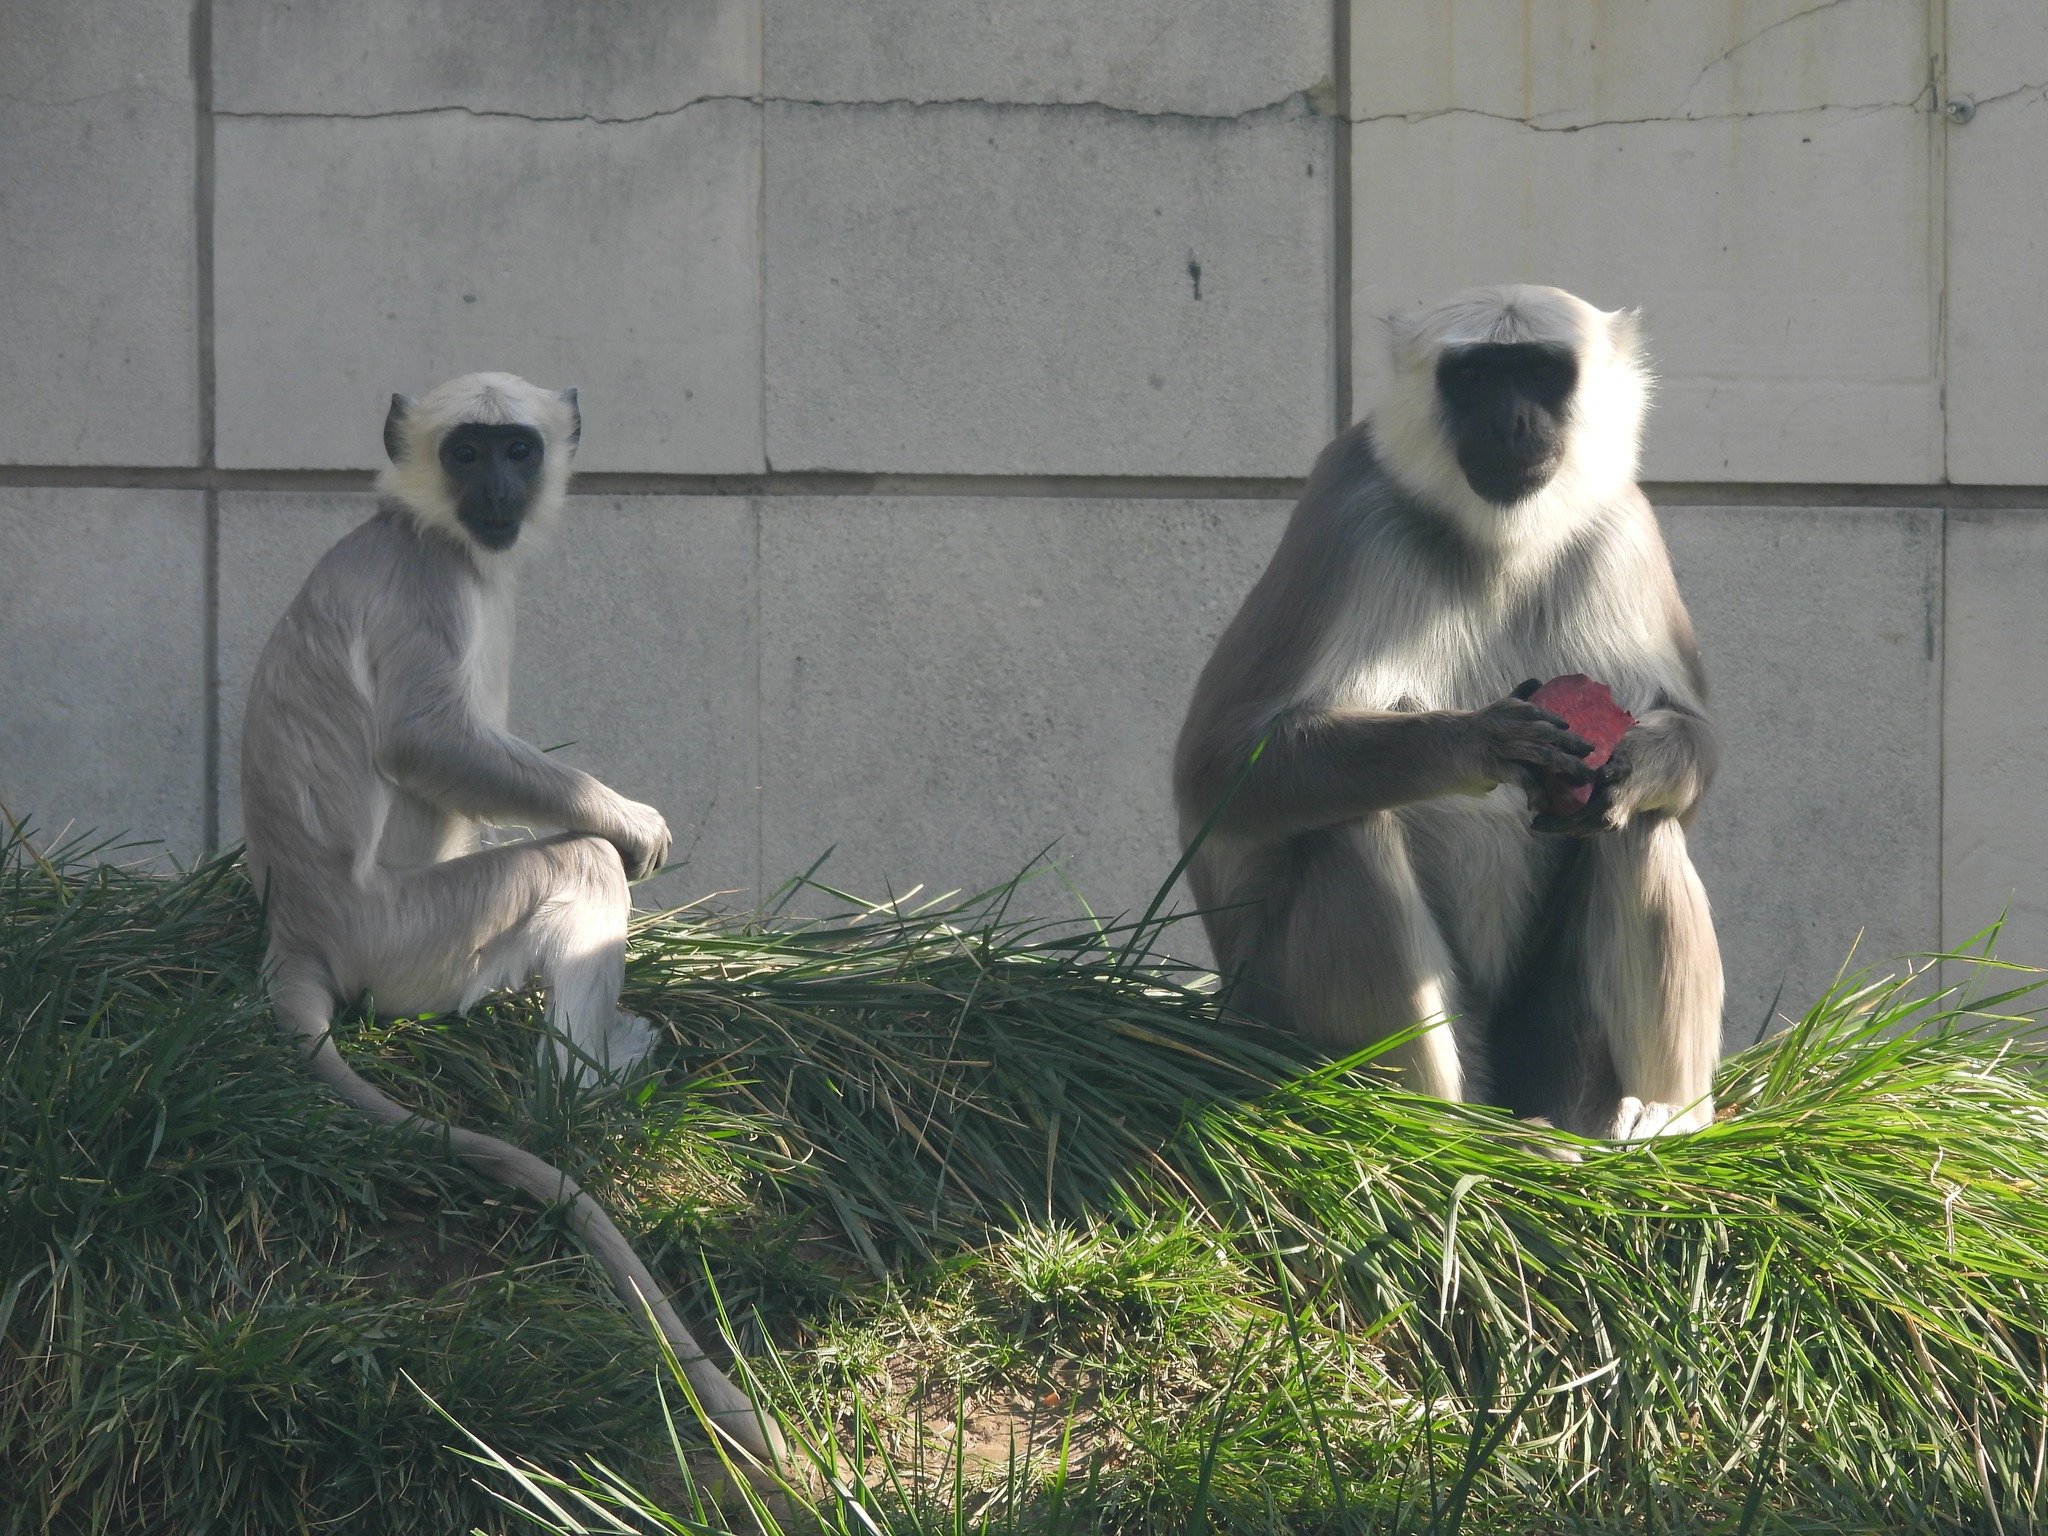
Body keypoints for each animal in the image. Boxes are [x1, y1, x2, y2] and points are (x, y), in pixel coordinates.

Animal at [241, 370, 782, 1458]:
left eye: (516, 449)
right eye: (467, 450)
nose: (495, 485)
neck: (429, 527)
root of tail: (300, 930)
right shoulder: (427, 580)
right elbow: (426, 739)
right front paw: (630, 819)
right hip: (411, 934)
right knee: (580, 866)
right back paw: (585, 1092)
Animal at [1179, 288, 1720, 1146]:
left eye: (1540, 373)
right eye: (1475, 378)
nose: (1512, 424)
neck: (1498, 546)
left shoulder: (1622, 527)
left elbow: (1688, 750)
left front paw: (1640, 763)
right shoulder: (1350, 509)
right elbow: (1215, 772)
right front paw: (1477, 739)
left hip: (1551, 1063)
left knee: (1640, 828)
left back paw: (1657, 1118)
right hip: (1283, 1013)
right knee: (1346, 830)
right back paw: (1430, 1125)